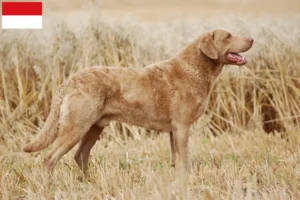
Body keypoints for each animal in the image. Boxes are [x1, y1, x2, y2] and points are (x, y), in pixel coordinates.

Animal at [22, 28, 253, 172]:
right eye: (228, 36)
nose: (251, 39)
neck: (196, 70)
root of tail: (70, 80)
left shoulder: (174, 129)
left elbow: (176, 158)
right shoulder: (182, 126)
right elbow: (185, 159)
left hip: (94, 127)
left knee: (80, 156)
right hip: (76, 126)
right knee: (50, 158)